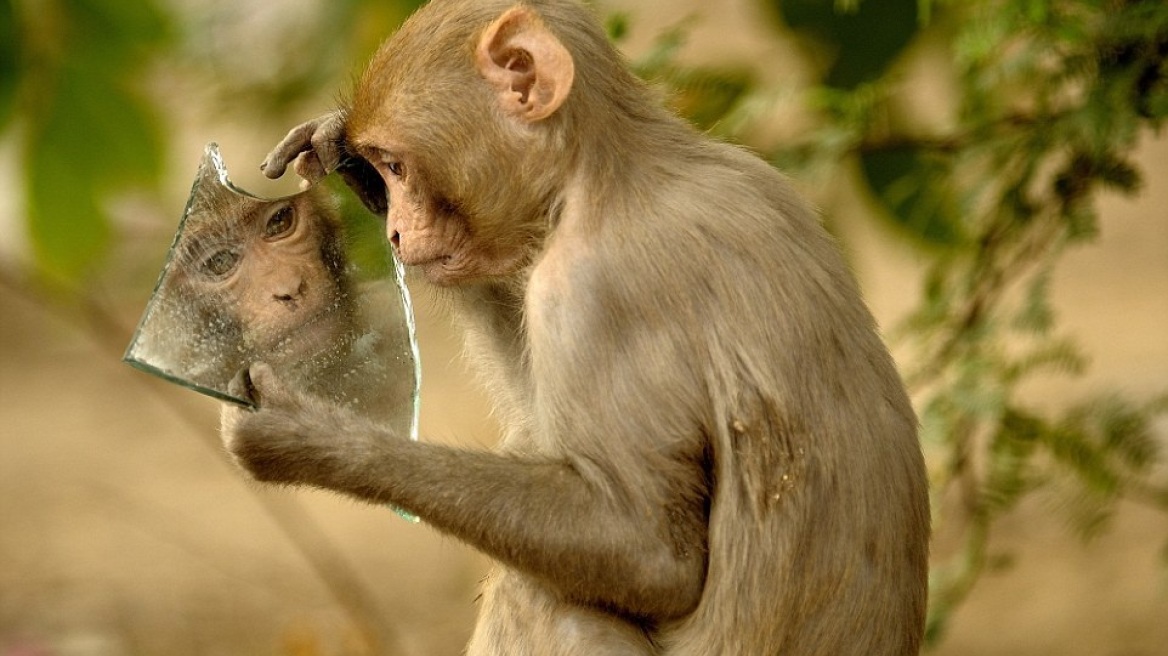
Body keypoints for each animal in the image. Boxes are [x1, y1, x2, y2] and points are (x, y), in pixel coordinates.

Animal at [220, 2, 929, 648]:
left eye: (397, 165)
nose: (395, 230)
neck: (612, 171)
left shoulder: (586, 291)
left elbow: (648, 551)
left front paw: (308, 433)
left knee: (536, 592)